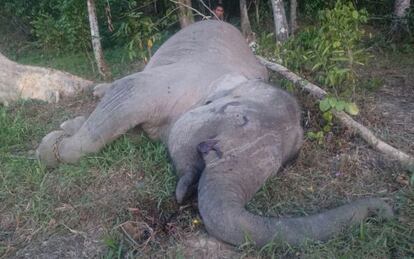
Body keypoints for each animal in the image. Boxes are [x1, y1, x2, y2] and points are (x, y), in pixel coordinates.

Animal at [37, 20, 392, 248]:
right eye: (241, 119)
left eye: (282, 165)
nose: (386, 210)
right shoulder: (172, 83)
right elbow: (128, 96)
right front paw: (49, 148)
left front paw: (65, 130)